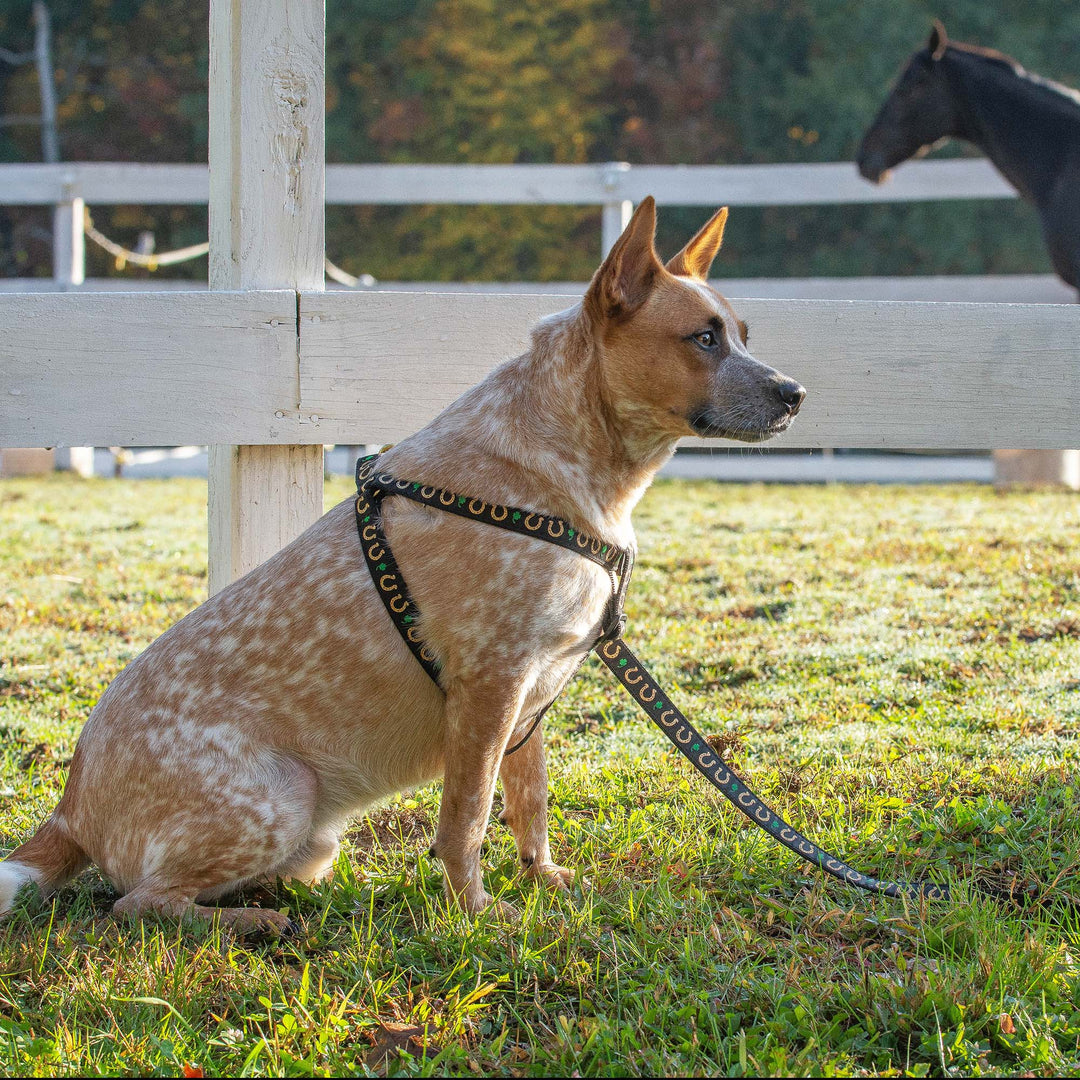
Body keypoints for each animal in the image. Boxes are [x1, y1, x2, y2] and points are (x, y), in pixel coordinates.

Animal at [0, 196, 803, 928]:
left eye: (743, 335)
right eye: (704, 338)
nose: (795, 392)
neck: (571, 465)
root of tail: (69, 808)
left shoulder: (534, 692)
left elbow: (531, 802)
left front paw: (542, 879)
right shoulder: (490, 684)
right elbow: (468, 818)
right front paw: (476, 911)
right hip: (279, 794)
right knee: (137, 902)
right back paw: (253, 922)